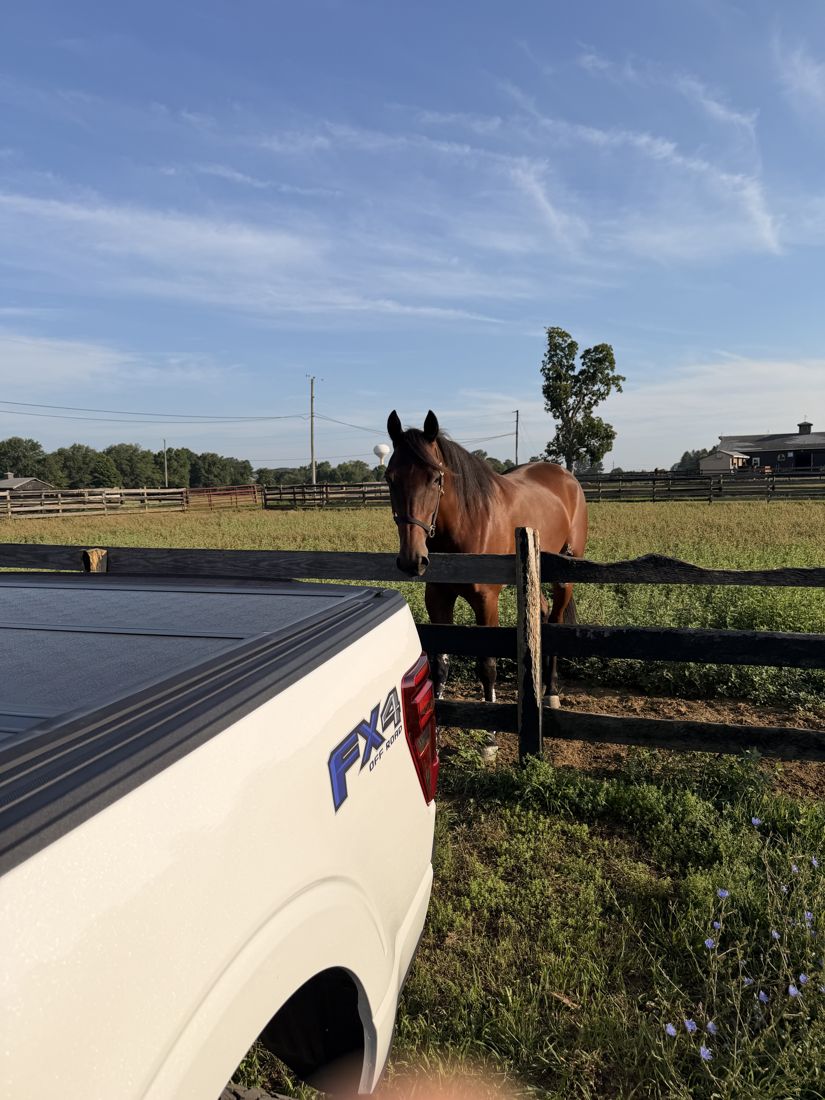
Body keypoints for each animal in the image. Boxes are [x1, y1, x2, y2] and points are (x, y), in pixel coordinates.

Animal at [386, 409, 588, 714]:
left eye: (435, 478)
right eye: (390, 478)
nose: (412, 559)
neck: (468, 521)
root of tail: (567, 477)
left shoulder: (486, 601)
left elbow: (487, 666)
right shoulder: (437, 598)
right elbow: (440, 663)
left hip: (565, 575)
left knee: (555, 621)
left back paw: (551, 692)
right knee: (541, 611)